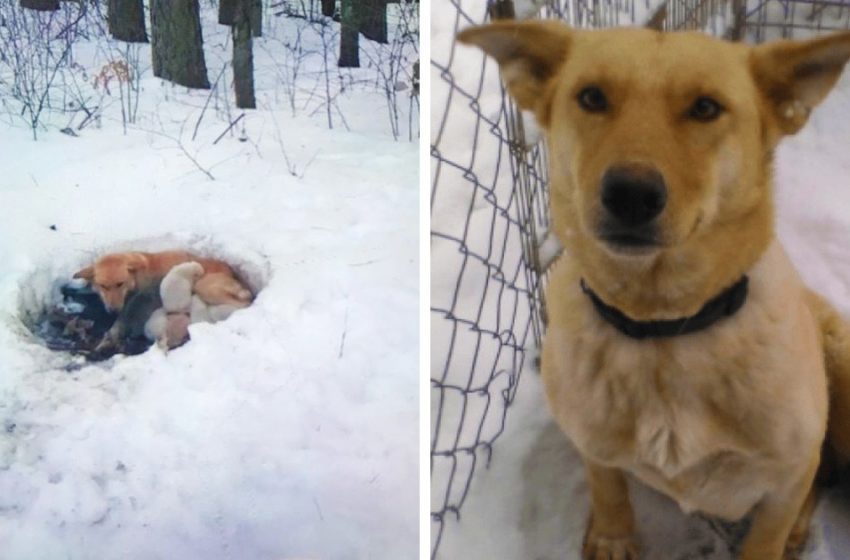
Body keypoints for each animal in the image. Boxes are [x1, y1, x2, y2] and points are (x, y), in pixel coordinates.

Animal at [460, 23, 848, 560]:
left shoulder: (789, 474)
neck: (662, 329)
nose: (631, 194)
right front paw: (612, 536)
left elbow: (770, 530)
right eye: (592, 97)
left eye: (705, 107)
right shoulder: (593, 442)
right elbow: (607, 487)